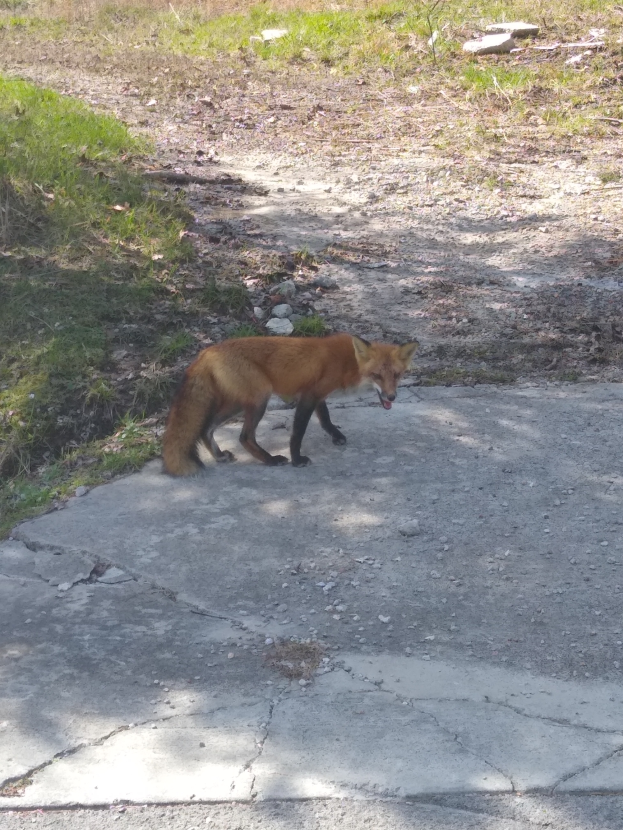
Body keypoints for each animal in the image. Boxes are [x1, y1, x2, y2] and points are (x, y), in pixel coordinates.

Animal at [162, 333, 418, 476]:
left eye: (396, 375)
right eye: (377, 376)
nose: (392, 397)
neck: (349, 362)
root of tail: (207, 351)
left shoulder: (317, 395)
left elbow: (326, 419)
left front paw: (336, 436)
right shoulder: (308, 395)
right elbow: (297, 433)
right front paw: (297, 460)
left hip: (238, 403)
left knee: (206, 429)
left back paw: (220, 456)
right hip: (260, 398)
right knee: (244, 437)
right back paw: (271, 460)